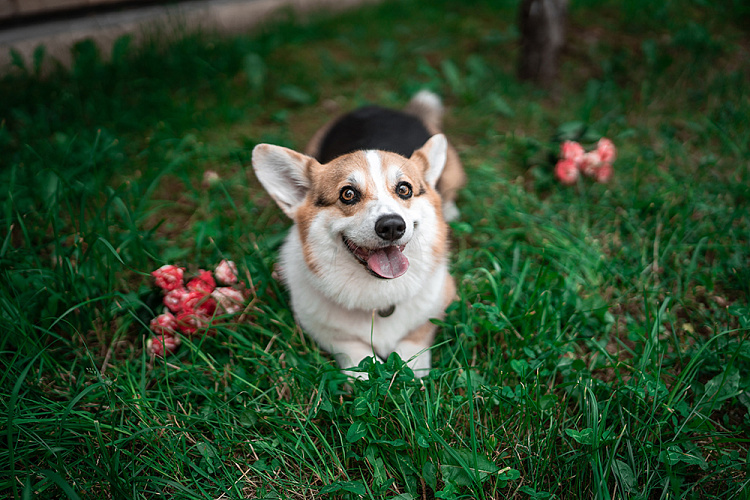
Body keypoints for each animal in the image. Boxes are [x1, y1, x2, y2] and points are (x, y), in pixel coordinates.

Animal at [253, 91, 464, 378]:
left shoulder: (438, 304)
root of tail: (385, 109)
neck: (379, 297)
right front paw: (367, 374)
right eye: (348, 194)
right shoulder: (322, 329)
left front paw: (410, 372)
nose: (392, 226)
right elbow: (355, 352)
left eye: (404, 189)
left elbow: (414, 341)